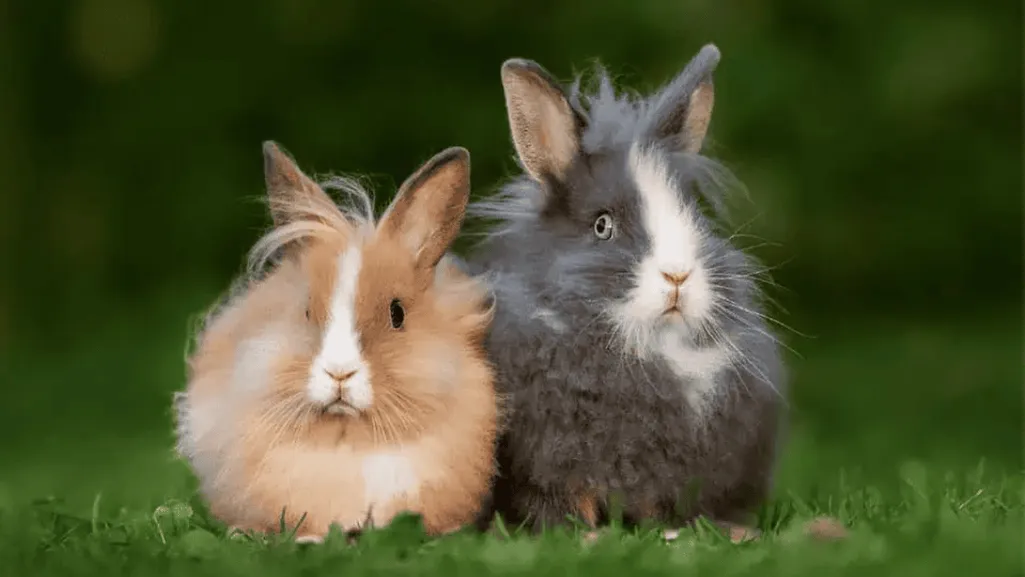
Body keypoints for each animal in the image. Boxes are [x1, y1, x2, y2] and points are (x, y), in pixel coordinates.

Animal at [464, 44, 789, 537]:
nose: (678, 276)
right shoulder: (550, 462)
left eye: (694, 216)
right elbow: (559, 501)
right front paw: (580, 534)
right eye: (603, 226)